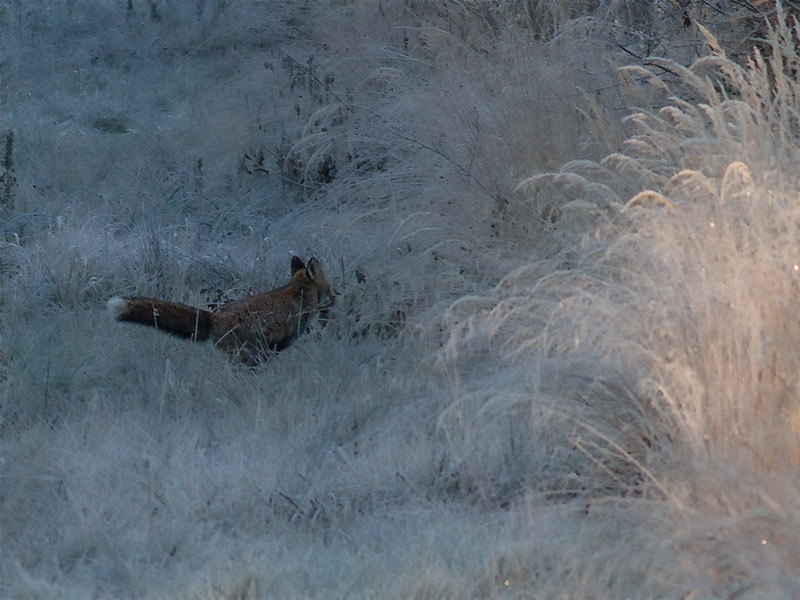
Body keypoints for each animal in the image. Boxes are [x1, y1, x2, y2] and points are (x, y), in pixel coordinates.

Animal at [108, 255, 332, 364]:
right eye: (329, 288)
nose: (335, 297)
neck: (298, 294)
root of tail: (218, 318)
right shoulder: (278, 343)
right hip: (249, 355)